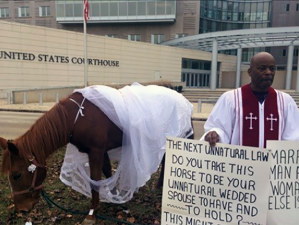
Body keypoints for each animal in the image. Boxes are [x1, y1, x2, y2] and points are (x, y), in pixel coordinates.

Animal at [0, 83, 195, 225]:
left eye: (17, 175)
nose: (21, 209)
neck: (77, 117)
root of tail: (180, 97)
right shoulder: (101, 151)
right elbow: (107, 173)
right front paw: (116, 198)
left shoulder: (96, 151)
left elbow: (94, 181)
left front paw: (92, 212)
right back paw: (160, 185)